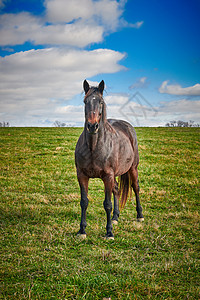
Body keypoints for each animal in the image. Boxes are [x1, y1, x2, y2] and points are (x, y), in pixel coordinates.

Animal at [75, 79, 144, 239]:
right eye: (85, 101)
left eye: (100, 102)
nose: (92, 126)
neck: (93, 147)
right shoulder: (82, 176)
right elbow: (84, 201)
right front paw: (82, 231)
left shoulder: (107, 176)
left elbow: (107, 204)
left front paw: (109, 232)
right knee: (117, 190)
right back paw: (115, 217)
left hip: (133, 168)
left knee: (135, 187)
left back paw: (139, 215)